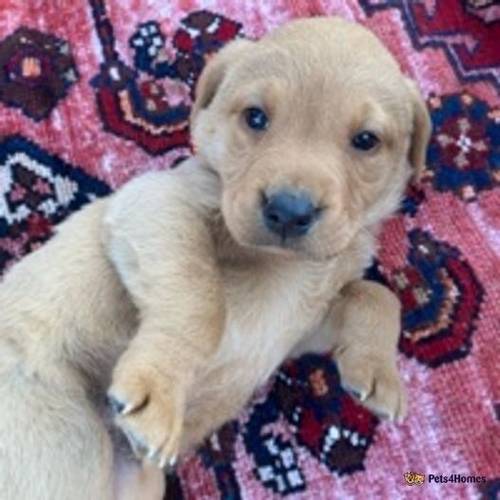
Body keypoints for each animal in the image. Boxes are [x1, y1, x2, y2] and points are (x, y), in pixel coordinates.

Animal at [0, 16, 430, 500]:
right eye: (255, 117)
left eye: (366, 140)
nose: (289, 210)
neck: (287, 264)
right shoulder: (157, 200)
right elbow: (202, 303)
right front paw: (159, 389)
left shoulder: (301, 327)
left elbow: (375, 295)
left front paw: (377, 372)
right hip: (62, 426)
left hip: (139, 482)